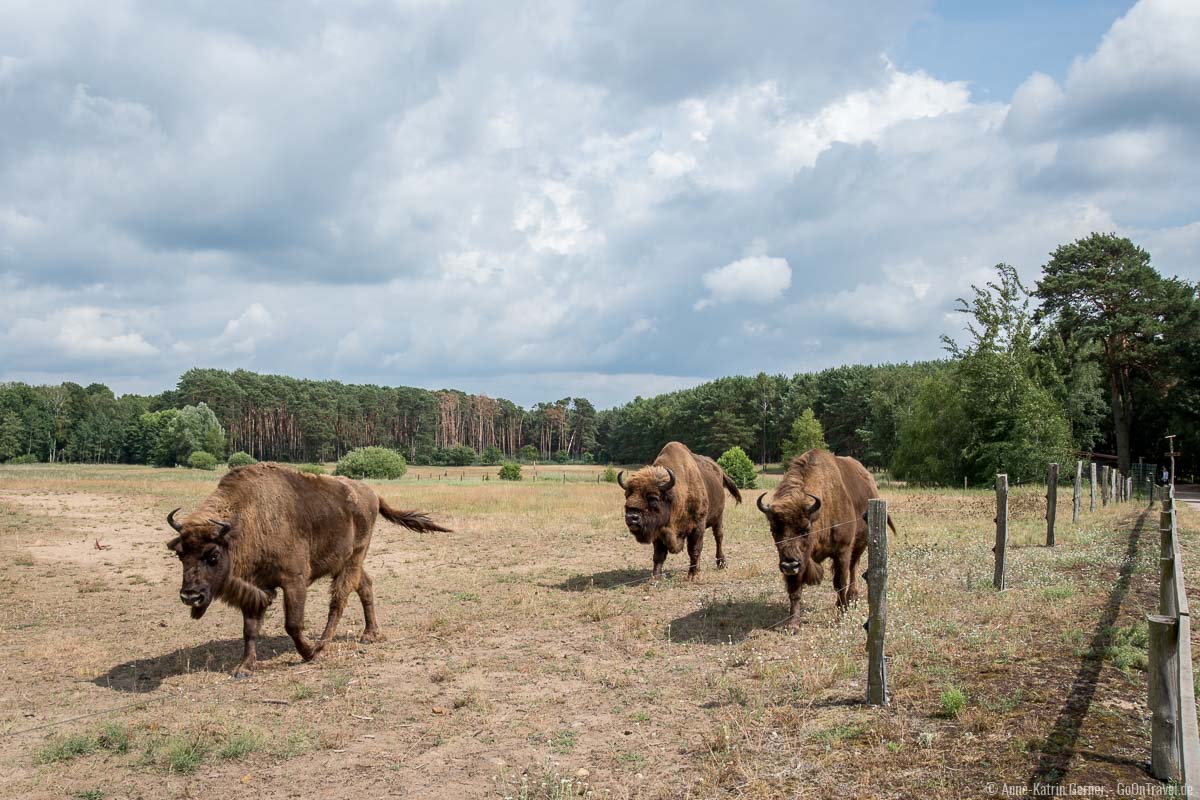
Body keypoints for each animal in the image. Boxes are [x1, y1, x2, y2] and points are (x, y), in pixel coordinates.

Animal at [164, 462, 451, 676]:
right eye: (180, 554)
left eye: (212, 555)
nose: (190, 595)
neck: (247, 520)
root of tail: (372, 494)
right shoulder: (256, 589)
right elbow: (250, 629)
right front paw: (244, 668)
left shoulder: (294, 581)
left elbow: (292, 624)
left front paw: (308, 653)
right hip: (347, 562)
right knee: (365, 587)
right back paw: (369, 634)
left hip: (353, 559)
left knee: (339, 601)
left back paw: (323, 644)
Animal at [619, 441, 739, 578]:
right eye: (627, 495)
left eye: (654, 498)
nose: (631, 517)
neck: (676, 496)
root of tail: (719, 470)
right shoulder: (659, 531)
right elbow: (659, 555)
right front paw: (655, 577)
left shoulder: (697, 526)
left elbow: (694, 550)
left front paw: (692, 575)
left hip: (718, 518)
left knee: (718, 538)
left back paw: (721, 563)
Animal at [753, 450, 897, 623]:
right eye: (774, 530)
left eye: (806, 529)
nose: (789, 565)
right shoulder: (800, 561)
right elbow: (795, 589)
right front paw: (793, 622)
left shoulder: (842, 550)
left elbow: (840, 582)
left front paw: (842, 613)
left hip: (860, 544)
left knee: (853, 568)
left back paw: (852, 598)